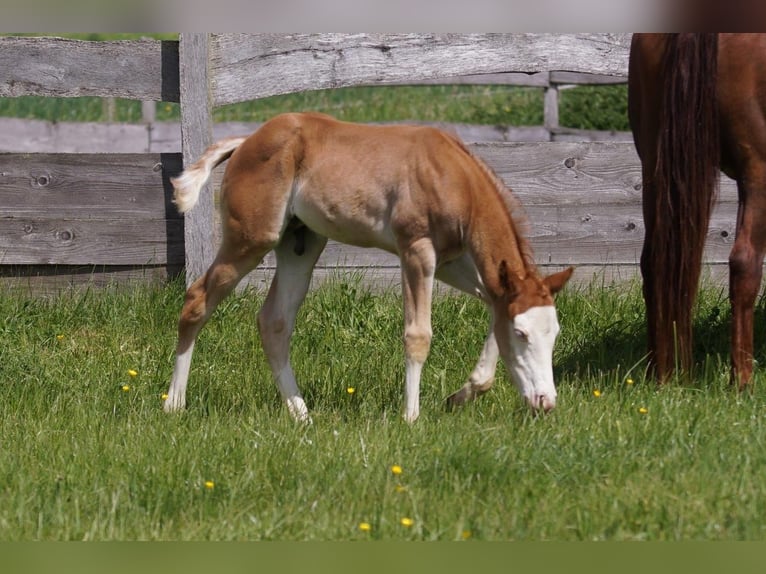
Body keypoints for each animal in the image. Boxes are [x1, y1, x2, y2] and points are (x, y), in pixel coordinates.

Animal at [168, 112, 576, 424]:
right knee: (197, 299)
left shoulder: (451, 261)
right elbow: (418, 335)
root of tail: (248, 140)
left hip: (301, 245)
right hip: (252, 238)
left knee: (274, 322)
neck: (453, 177)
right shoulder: (416, 251)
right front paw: (410, 418)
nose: (546, 402)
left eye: (554, 333)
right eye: (522, 334)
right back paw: (174, 404)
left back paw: (302, 414)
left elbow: (494, 304)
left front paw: (462, 394)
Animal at [632, 35, 766, 388]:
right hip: (759, 172)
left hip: (655, 168)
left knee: (655, 263)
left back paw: (663, 374)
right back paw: (742, 381)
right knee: (745, 262)